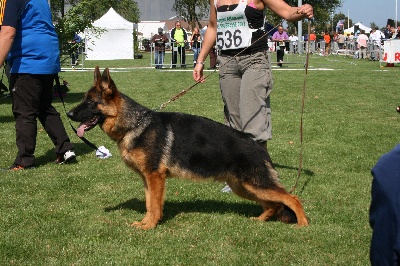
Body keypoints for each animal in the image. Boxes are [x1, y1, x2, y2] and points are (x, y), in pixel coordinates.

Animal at [67, 66, 308, 229]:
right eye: (83, 99)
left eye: (90, 102)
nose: (68, 114)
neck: (134, 124)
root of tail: (257, 145)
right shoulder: (147, 179)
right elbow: (149, 203)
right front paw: (144, 223)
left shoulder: (155, 177)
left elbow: (155, 205)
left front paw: (150, 226)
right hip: (244, 186)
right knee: (274, 205)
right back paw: (259, 220)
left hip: (255, 184)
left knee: (291, 198)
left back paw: (303, 224)